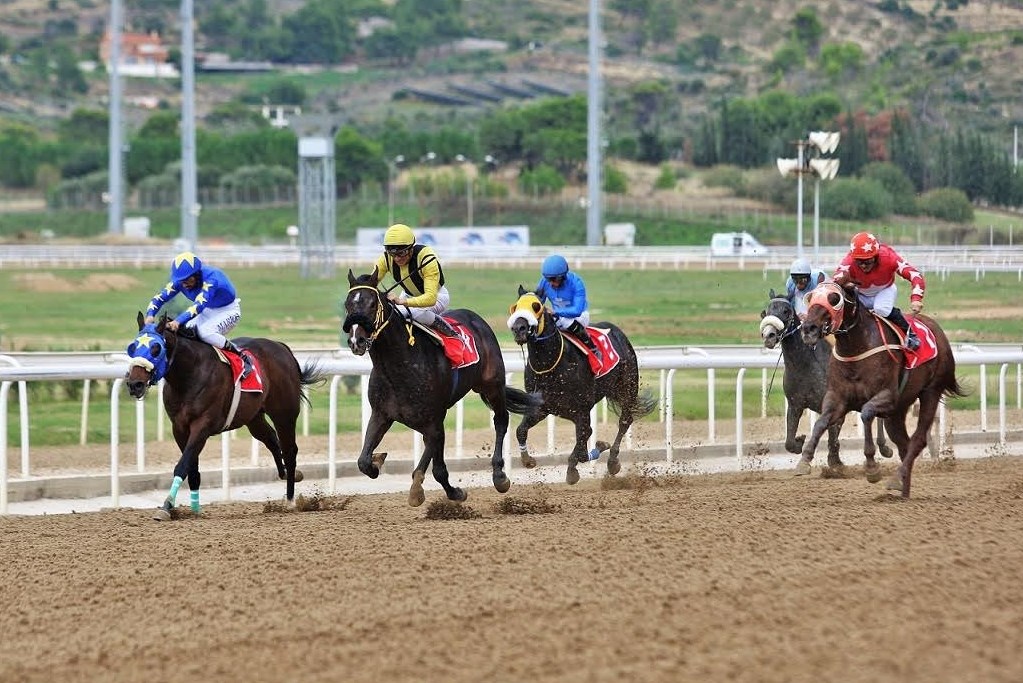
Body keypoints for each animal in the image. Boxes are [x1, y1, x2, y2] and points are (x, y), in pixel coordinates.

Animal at [125, 312, 323, 519]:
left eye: (156, 349)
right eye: (132, 347)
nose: (134, 384)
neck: (189, 375)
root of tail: (282, 347)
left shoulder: (203, 425)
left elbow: (182, 465)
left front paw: (166, 506)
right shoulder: (179, 428)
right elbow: (191, 468)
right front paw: (195, 509)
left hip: (284, 413)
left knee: (290, 450)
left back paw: (291, 500)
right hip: (254, 418)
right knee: (271, 439)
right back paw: (287, 474)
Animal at [341, 269, 544, 505]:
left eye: (372, 303)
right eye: (348, 304)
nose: (356, 341)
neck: (399, 366)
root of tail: (476, 319)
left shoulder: (434, 419)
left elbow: (434, 467)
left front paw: (426, 492)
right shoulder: (382, 414)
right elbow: (363, 461)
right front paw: (377, 460)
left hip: (492, 385)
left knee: (501, 421)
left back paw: (499, 475)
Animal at [507, 286, 658, 482]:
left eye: (536, 306)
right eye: (515, 307)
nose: (518, 328)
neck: (549, 365)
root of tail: (617, 331)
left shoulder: (581, 409)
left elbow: (583, 441)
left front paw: (573, 469)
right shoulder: (543, 407)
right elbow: (521, 430)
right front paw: (528, 460)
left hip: (627, 387)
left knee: (625, 421)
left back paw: (613, 461)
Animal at [757, 290, 892, 466]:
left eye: (786, 311)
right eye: (766, 311)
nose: (769, 335)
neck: (805, 365)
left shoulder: (834, 404)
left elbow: (832, 437)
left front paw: (835, 462)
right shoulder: (795, 405)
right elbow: (789, 442)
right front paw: (800, 441)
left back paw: (884, 447)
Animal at [797, 282, 965, 496]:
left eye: (834, 299)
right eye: (810, 297)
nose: (808, 329)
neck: (856, 350)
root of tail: (937, 329)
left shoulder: (887, 396)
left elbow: (867, 413)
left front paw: (871, 468)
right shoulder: (838, 398)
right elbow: (821, 422)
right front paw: (804, 460)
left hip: (931, 391)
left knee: (918, 440)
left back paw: (896, 479)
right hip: (898, 411)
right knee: (903, 443)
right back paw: (903, 489)